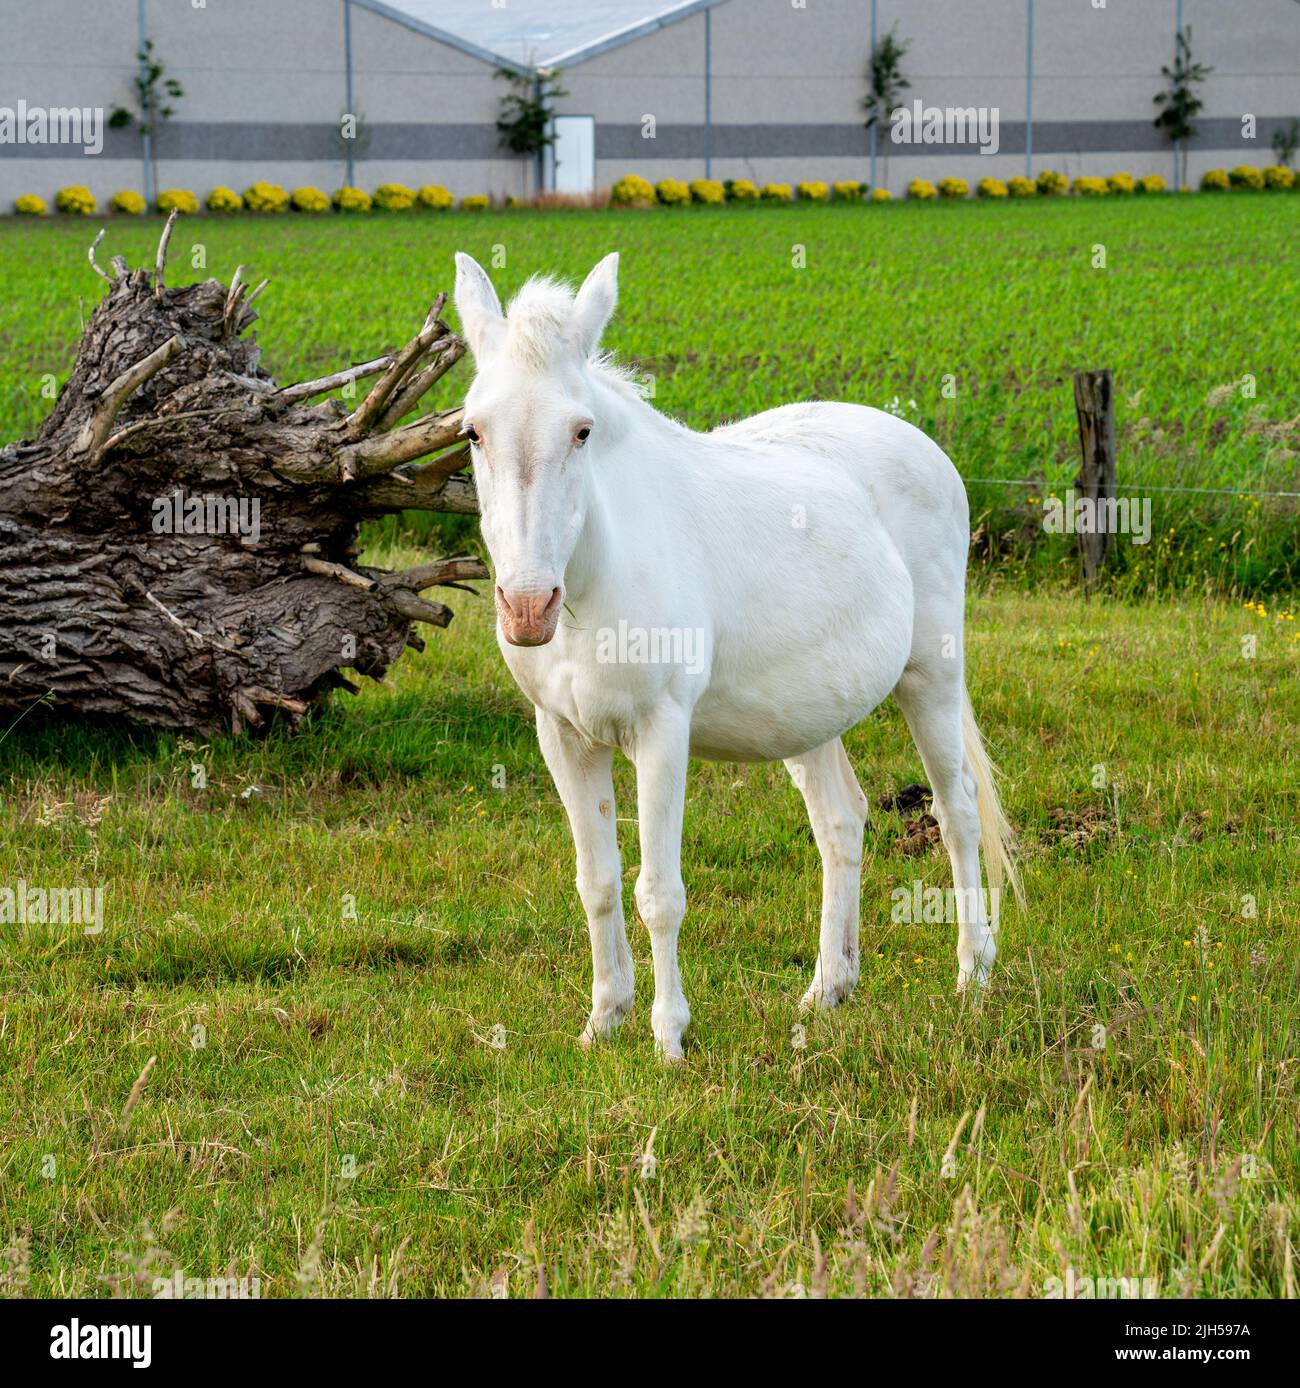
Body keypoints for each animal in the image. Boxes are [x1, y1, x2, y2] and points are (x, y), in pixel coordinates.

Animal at [452, 250, 1020, 1060]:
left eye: (583, 431)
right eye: (472, 432)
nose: (529, 608)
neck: (597, 575)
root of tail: (924, 446)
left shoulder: (662, 733)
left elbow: (658, 892)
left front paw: (668, 1037)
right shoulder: (562, 736)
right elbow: (597, 882)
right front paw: (603, 1022)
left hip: (932, 677)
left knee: (959, 812)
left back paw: (974, 974)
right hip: (809, 715)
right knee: (841, 822)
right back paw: (828, 990)